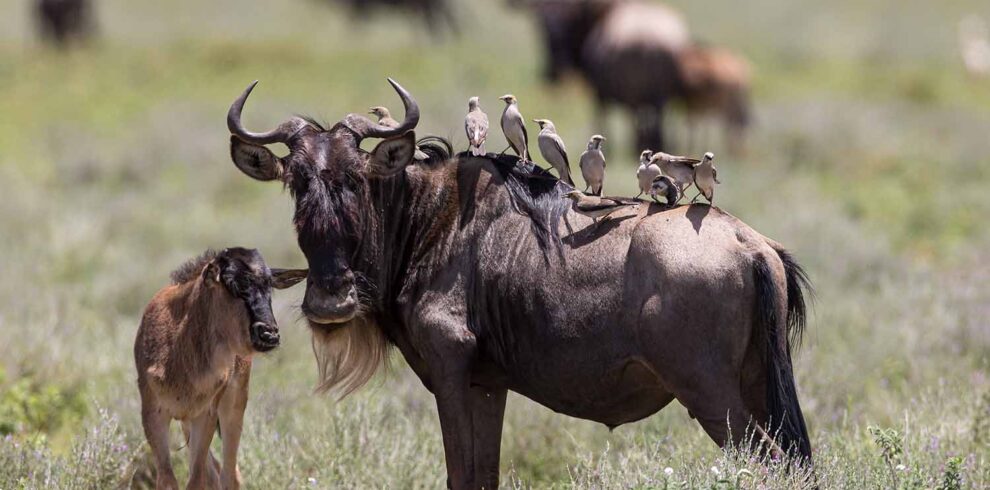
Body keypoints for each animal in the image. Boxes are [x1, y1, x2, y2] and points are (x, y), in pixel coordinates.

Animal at [225, 79, 813, 489]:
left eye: (356, 180)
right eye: (297, 183)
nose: (331, 298)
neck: (429, 219)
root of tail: (749, 243)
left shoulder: (449, 364)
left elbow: (460, 474)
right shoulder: (487, 382)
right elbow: (483, 474)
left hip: (709, 392)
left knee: (769, 462)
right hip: (757, 383)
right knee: (793, 462)